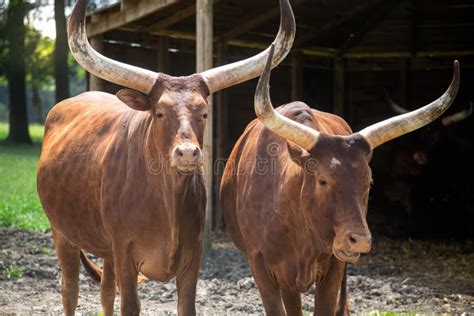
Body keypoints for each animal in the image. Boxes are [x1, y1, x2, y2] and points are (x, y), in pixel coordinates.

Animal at [37, 1, 296, 314]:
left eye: (204, 113)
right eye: (159, 112)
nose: (186, 152)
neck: (166, 202)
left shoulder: (191, 257)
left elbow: (185, 306)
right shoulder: (125, 252)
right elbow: (129, 305)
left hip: (105, 249)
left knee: (106, 290)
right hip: (62, 232)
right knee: (70, 290)